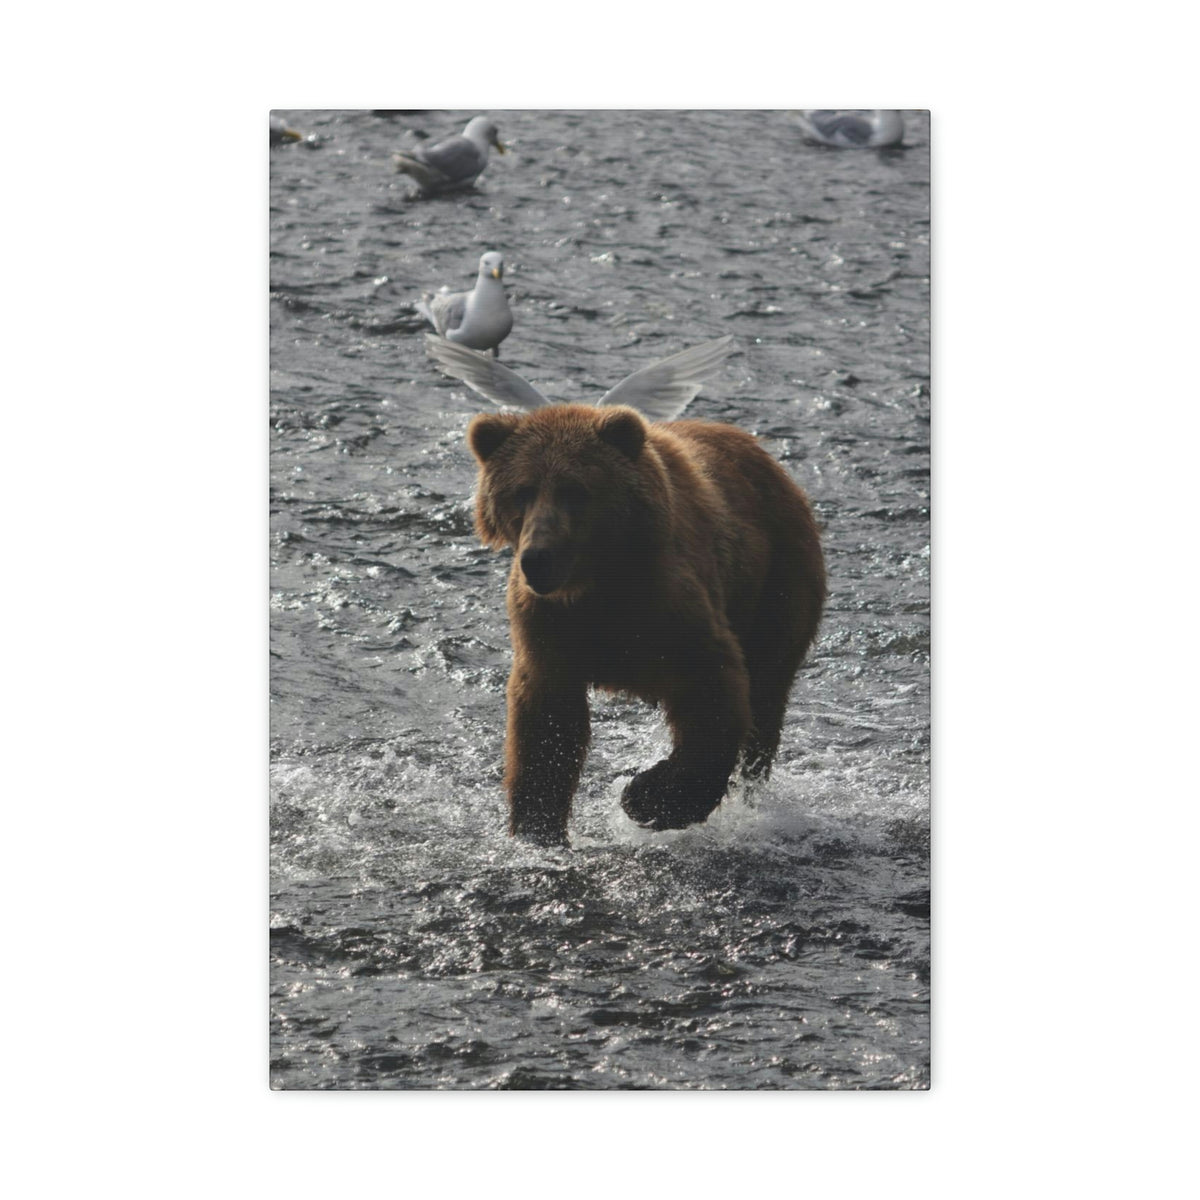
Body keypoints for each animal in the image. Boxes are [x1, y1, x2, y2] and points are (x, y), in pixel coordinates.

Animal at [467, 403, 826, 847]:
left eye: (575, 490)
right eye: (522, 490)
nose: (538, 557)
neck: (599, 586)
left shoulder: (671, 606)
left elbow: (713, 691)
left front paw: (648, 797)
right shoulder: (549, 626)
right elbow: (546, 724)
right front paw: (538, 828)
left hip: (777, 581)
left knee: (766, 692)